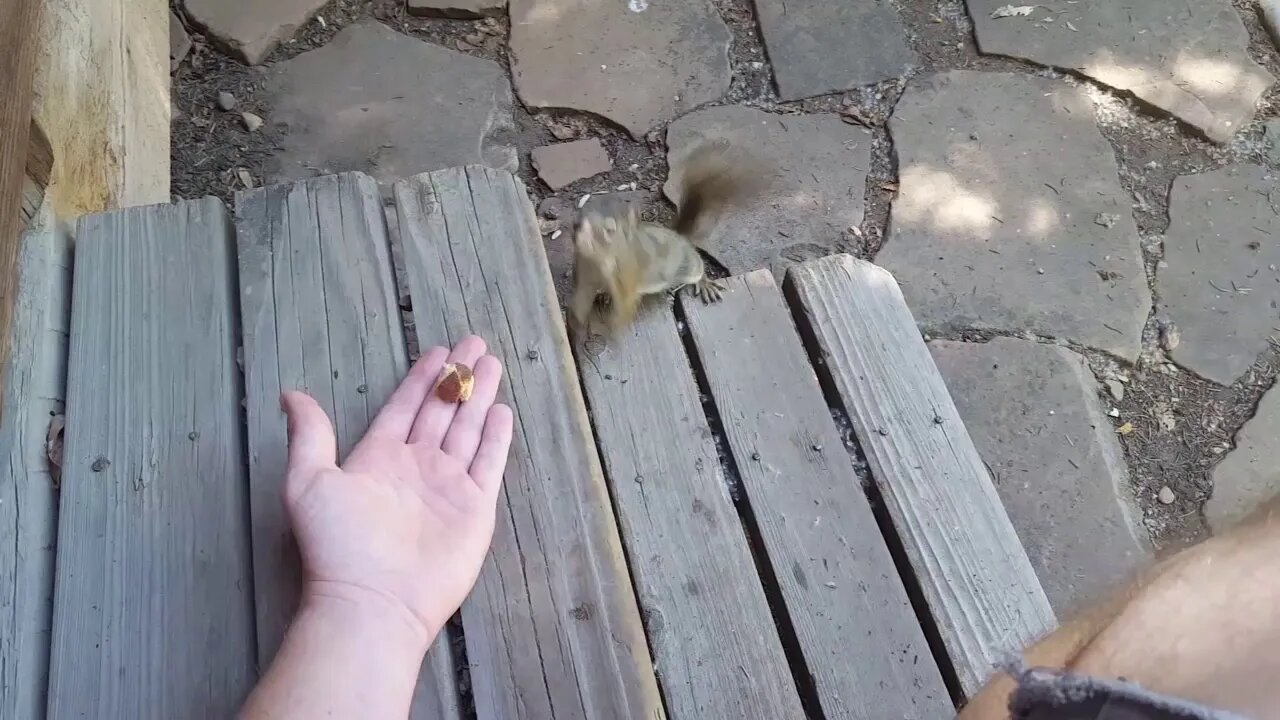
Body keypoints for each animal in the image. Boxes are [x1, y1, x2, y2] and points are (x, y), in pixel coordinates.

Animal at [573, 142, 768, 333]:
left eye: (609, 230)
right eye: (578, 220)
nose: (578, 231)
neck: (597, 262)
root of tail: (679, 236)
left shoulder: (627, 274)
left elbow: (625, 302)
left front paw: (615, 325)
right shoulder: (585, 273)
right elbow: (583, 295)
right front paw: (579, 316)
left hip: (688, 266)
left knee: (698, 267)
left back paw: (704, 283)